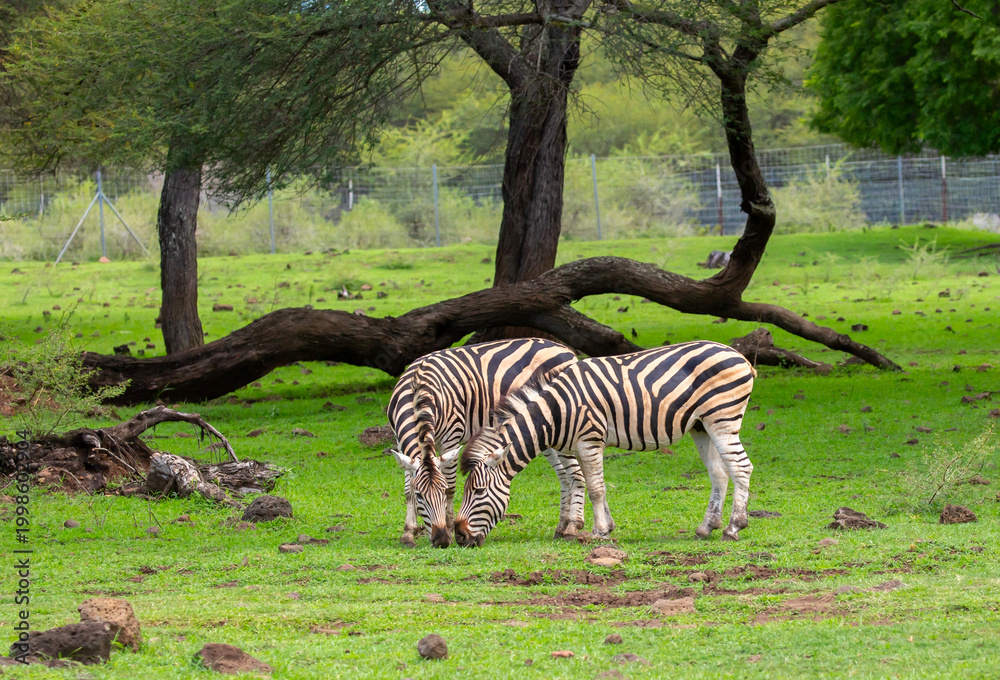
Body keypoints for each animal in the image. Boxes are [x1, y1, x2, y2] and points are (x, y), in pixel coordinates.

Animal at [387, 338, 585, 548]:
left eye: (441, 492)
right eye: (420, 495)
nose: (441, 540)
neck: (418, 390)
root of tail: (565, 349)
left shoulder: (450, 438)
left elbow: (451, 486)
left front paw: (448, 527)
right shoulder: (400, 442)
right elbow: (407, 489)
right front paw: (408, 533)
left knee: (576, 474)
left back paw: (572, 527)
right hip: (544, 429)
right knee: (564, 476)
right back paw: (561, 527)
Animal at [455, 340, 757, 547]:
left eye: (478, 491)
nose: (459, 536)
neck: (557, 410)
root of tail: (738, 355)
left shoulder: (590, 439)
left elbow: (596, 489)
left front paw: (598, 532)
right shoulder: (580, 446)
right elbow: (592, 484)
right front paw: (607, 526)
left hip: (723, 417)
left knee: (742, 468)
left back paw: (733, 528)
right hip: (701, 425)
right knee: (719, 473)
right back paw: (707, 527)